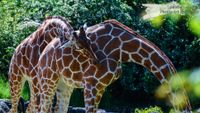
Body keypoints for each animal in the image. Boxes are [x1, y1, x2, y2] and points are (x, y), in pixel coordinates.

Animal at [37, 19, 192, 113]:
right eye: (183, 109)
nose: (96, 61)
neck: (122, 51)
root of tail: (43, 54)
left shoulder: (100, 87)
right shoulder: (90, 85)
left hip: (65, 85)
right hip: (48, 80)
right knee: (43, 108)